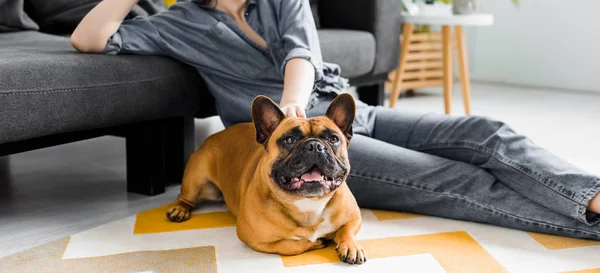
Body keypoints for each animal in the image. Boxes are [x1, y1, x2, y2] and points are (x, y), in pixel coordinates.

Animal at [168, 93, 366, 264]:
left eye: (333, 139)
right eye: (289, 140)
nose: (315, 145)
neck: (308, 205)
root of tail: (215, 135)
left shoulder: (354, 218)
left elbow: (346, 231)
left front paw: (351, 246)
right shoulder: (254, 238)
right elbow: (292, 245)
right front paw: (316, 242)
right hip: (196, 179)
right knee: (185, 197)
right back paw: (179, 209)